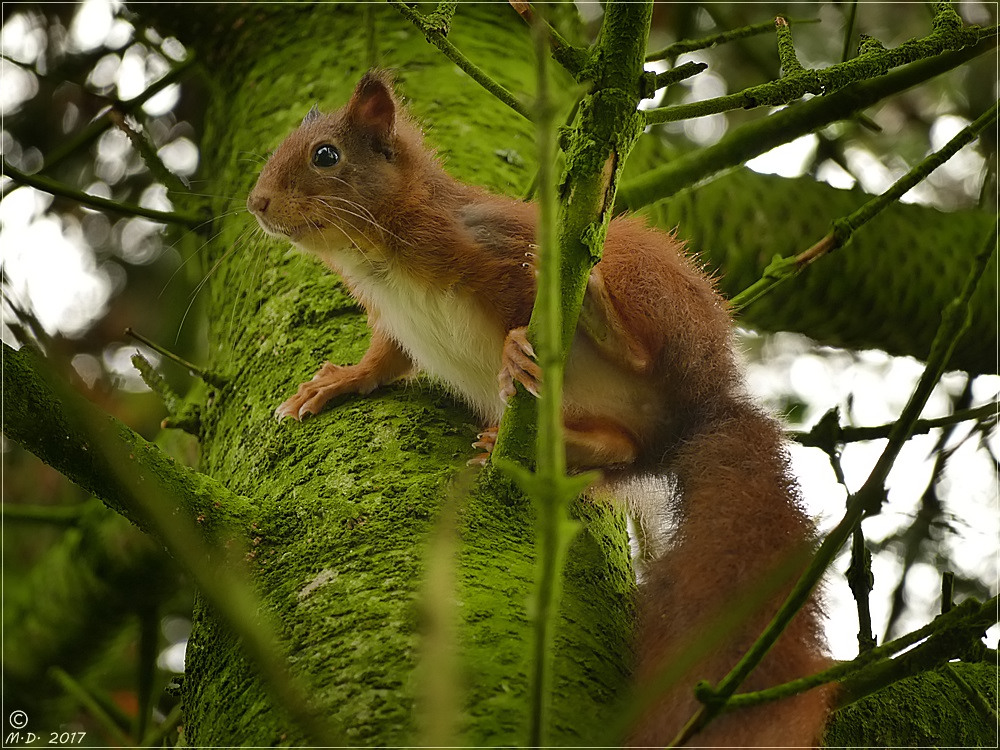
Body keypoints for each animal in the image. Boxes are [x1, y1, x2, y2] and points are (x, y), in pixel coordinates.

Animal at [246, 69, 832, 748]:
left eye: (326, 156)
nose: (257, 203)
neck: (378, 251)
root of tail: (702, 409)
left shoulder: (494, 249)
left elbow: (514, 302)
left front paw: (511, 348)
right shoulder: (390, 319)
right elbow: (384, 361)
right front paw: (336, 382)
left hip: (648, 280)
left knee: (637, 346)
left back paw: (601, 321)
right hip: (625, 432)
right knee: (624, 448)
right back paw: (563, 443)